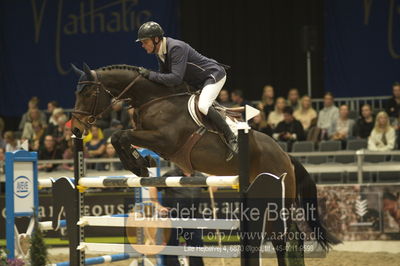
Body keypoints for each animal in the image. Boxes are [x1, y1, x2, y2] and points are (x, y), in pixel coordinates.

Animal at [70, 63, 340, 264]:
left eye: (87, 93)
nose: (75, 129)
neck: (154, 99)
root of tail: (285, 155)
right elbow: (122, 138)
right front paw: (142, 161)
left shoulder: (164, 139)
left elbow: (120, 135)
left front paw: (139, 165)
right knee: (292, 236)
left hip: (277, 199)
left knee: (283, 237)